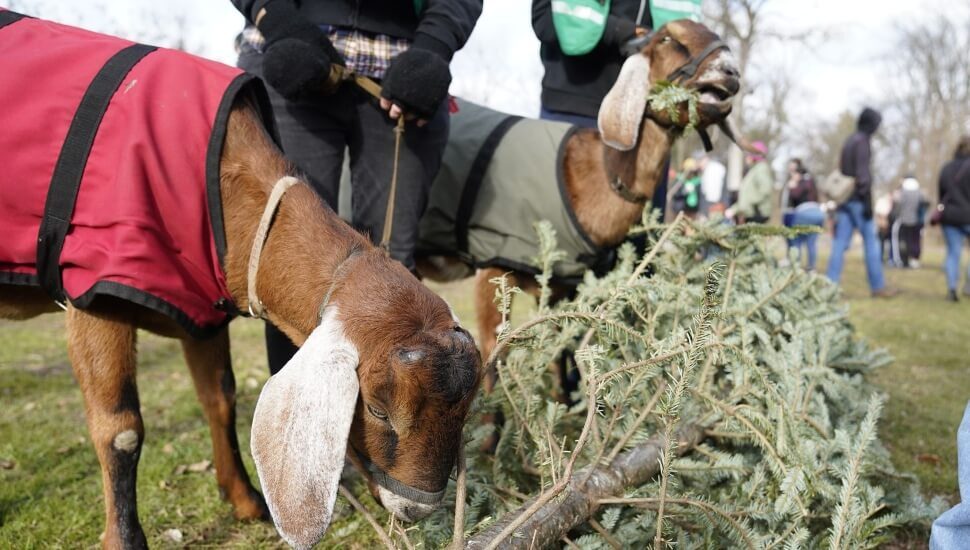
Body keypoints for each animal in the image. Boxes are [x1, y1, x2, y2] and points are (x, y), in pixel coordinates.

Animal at [0, 12, 480, 549]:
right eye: (377, 409)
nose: (417, 509)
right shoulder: (95, 289)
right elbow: (120, 431)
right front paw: (124, 539)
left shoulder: (197, 309)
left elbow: (220, 399)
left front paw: (246, 501)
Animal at [417, 20, 741, 372]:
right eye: (669, 38)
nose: (730, 71)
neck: (597, 176)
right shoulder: (494, 267)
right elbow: (494, 355)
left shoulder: (560, 287)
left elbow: (558, 355)